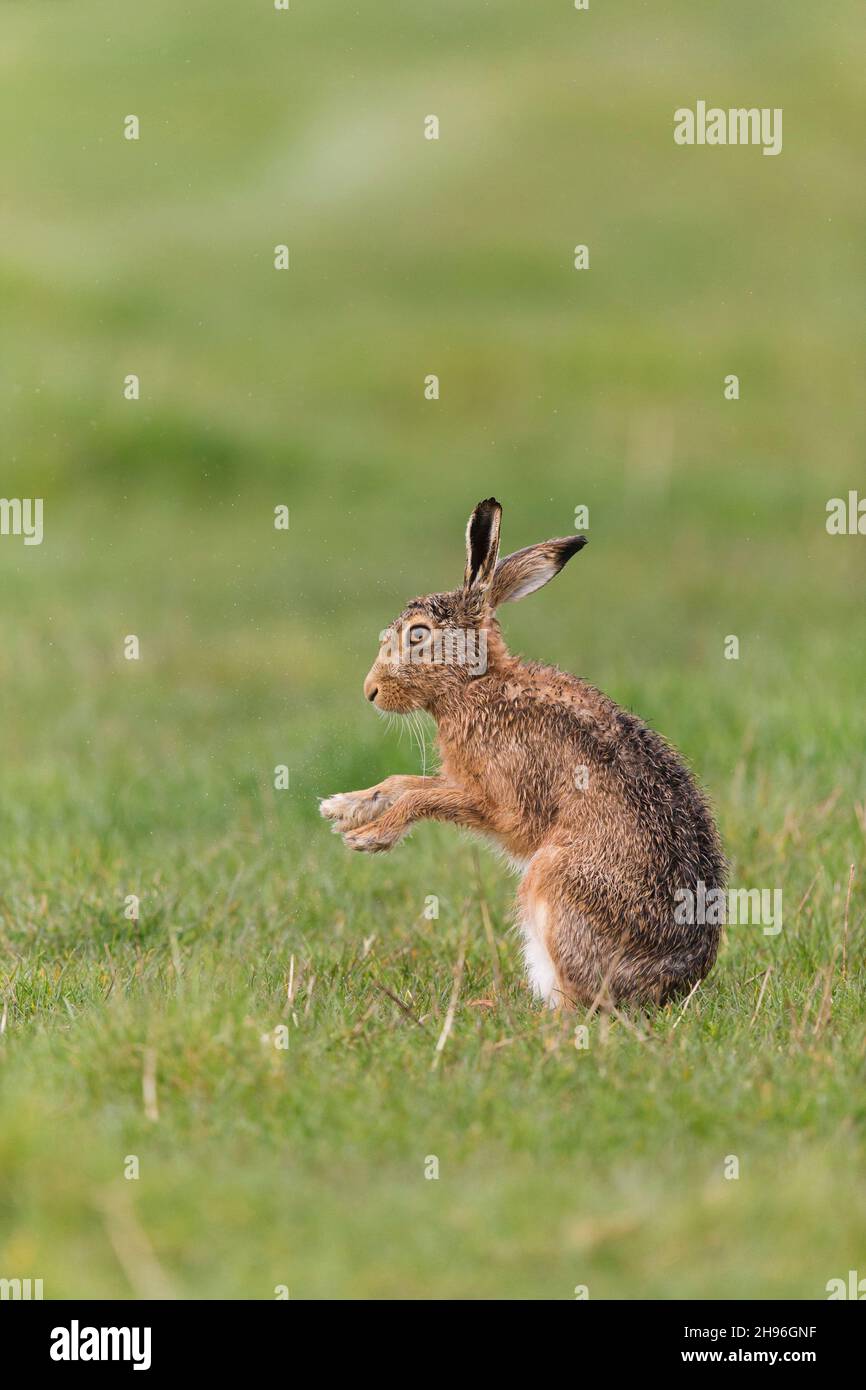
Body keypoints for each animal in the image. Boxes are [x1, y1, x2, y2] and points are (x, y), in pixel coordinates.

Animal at [321, 498, 726, 1009]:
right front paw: (343, 809)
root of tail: (672, 987)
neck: (473, 686)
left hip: (551, 880)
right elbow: (403, 783)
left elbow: (422, 797)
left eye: (417, 634)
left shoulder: (503, 804)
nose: (370, 691)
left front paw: (369, 838)